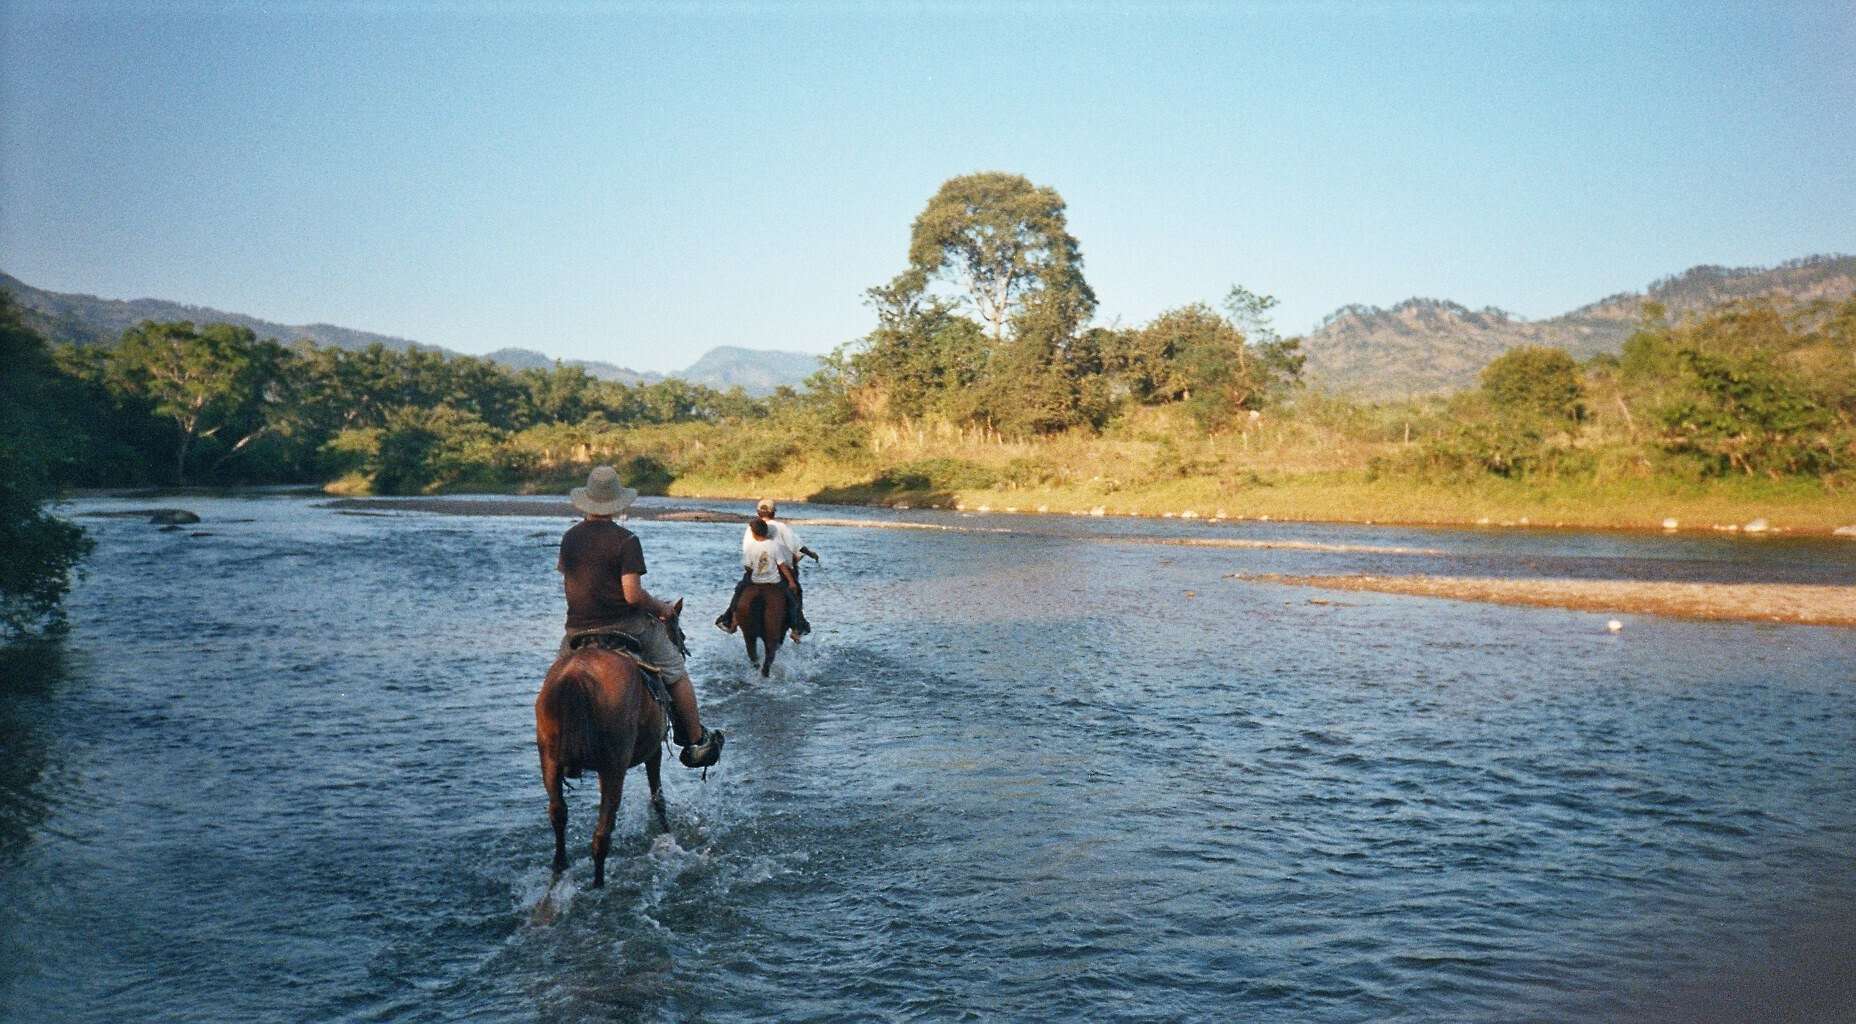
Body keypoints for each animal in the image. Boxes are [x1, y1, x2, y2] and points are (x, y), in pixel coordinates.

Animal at [534, 604, 686, 883]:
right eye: (679, 634)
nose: (681, 648)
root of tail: (577, 675)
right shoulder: (654, 751)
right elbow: (658, 798)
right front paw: (667, 833)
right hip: (613, 768)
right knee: (602, 832)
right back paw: (598, 883)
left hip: (549, 760)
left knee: (558, 813)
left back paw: (560, 866)